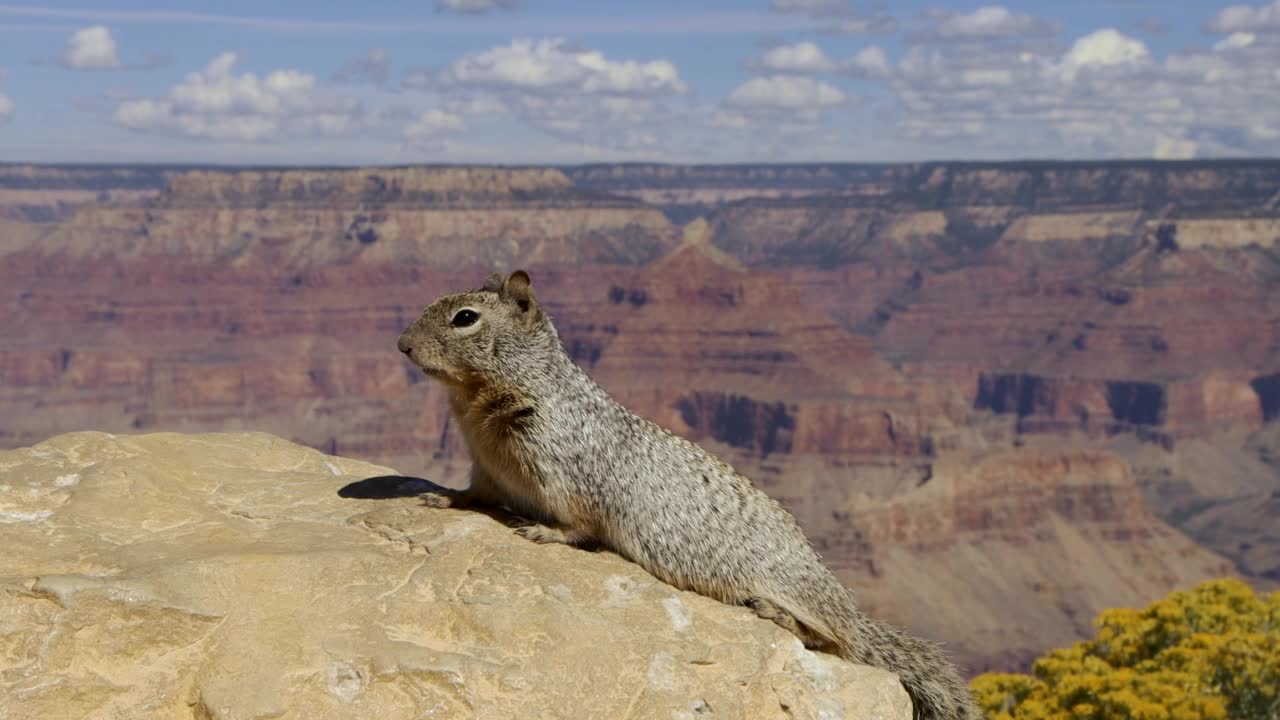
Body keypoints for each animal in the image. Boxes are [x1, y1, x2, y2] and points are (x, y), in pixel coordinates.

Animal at [396, 270, 977, 717]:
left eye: (465, 317)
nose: (401, 345)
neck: (479, 403)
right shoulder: (487, 468)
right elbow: (474, 493)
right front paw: (442, 498)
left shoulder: (566, 468)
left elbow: (580, 520)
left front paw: (544, 531)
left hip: (795, 587)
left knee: (838, 642)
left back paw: (779, 615)